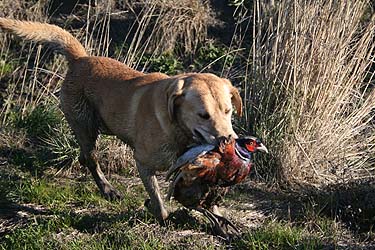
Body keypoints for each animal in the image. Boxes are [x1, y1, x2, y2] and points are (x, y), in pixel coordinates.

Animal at [0, 17, 244, 221]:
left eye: (228, 111)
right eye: (203, 115)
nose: (228, 141)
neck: (177, 129)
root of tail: (80, 59)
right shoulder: (143, 163)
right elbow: (158, 200)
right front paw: (158, 212)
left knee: (84, 156)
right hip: (85, 126)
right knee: (90, 158)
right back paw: (108, 189)